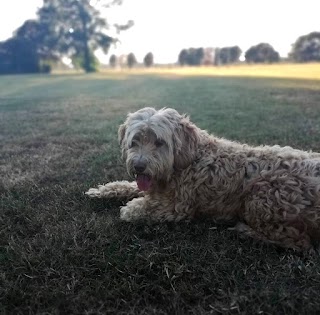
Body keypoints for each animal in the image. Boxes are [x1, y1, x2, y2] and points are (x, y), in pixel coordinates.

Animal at [85, 108, 320, 252]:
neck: (188, 157)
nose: (139, 166)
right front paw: (101, 191)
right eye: (135, 141)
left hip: (261, 196)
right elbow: (125, 186)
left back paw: (245, 231)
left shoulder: (176, 207)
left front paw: (131, 209)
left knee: (299, 242)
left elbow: (141, 207)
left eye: (159, 142)